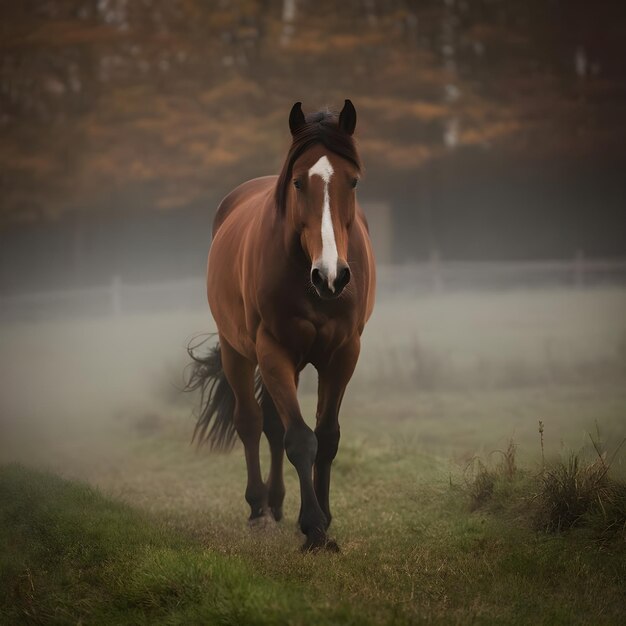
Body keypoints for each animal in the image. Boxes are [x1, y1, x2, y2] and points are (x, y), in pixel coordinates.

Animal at [188, 100, 376, 548]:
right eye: (297, 182)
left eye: (353, 181)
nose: (331, 276)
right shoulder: (273, 350)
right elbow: (300, 438)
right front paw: (313, 529)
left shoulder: (343, 353)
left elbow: (326, 437)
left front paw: (325, 516)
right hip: (237, 351)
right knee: (252, 422)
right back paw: (259, 508)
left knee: (273, 425)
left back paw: (274, 503)